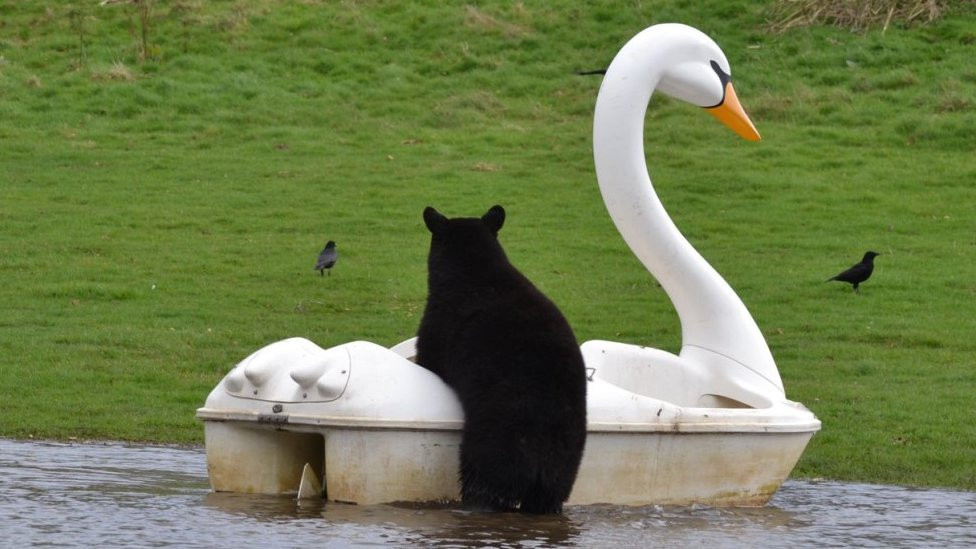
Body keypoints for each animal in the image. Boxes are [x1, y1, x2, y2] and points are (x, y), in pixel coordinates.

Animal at [414, 203, 588, 512]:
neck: (473, 270)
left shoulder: (438, 326)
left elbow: (428, 358)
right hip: (566, 460)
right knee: (550, 497)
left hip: (497, 446)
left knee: (484, 483)